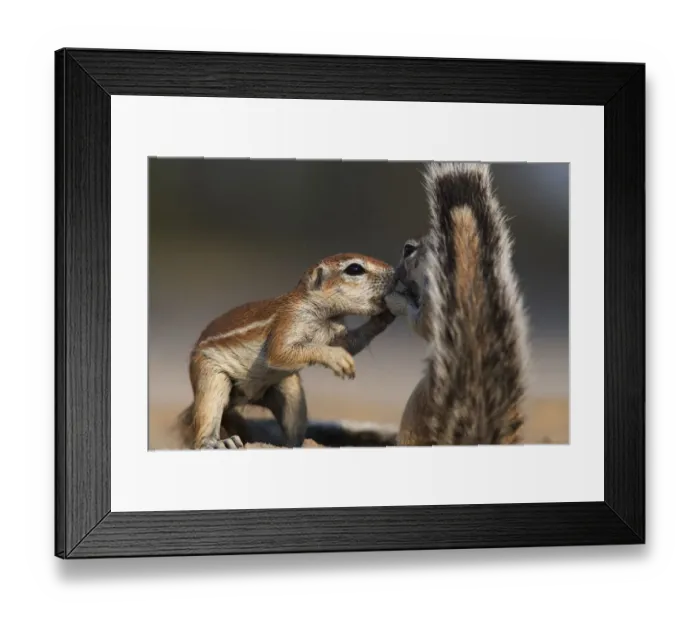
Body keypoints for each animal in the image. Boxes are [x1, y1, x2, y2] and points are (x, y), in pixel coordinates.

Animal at [183, 253, 396, 450]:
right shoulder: (289, 321)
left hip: (289, 390)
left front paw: (384, 317)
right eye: (355, 269)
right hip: (210, 377)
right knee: (207, 413)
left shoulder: (336, 332)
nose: (395, 273)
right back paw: (216, 443)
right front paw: (337, 358)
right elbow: (280, 352)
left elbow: (350, 343)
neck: (325, 317)